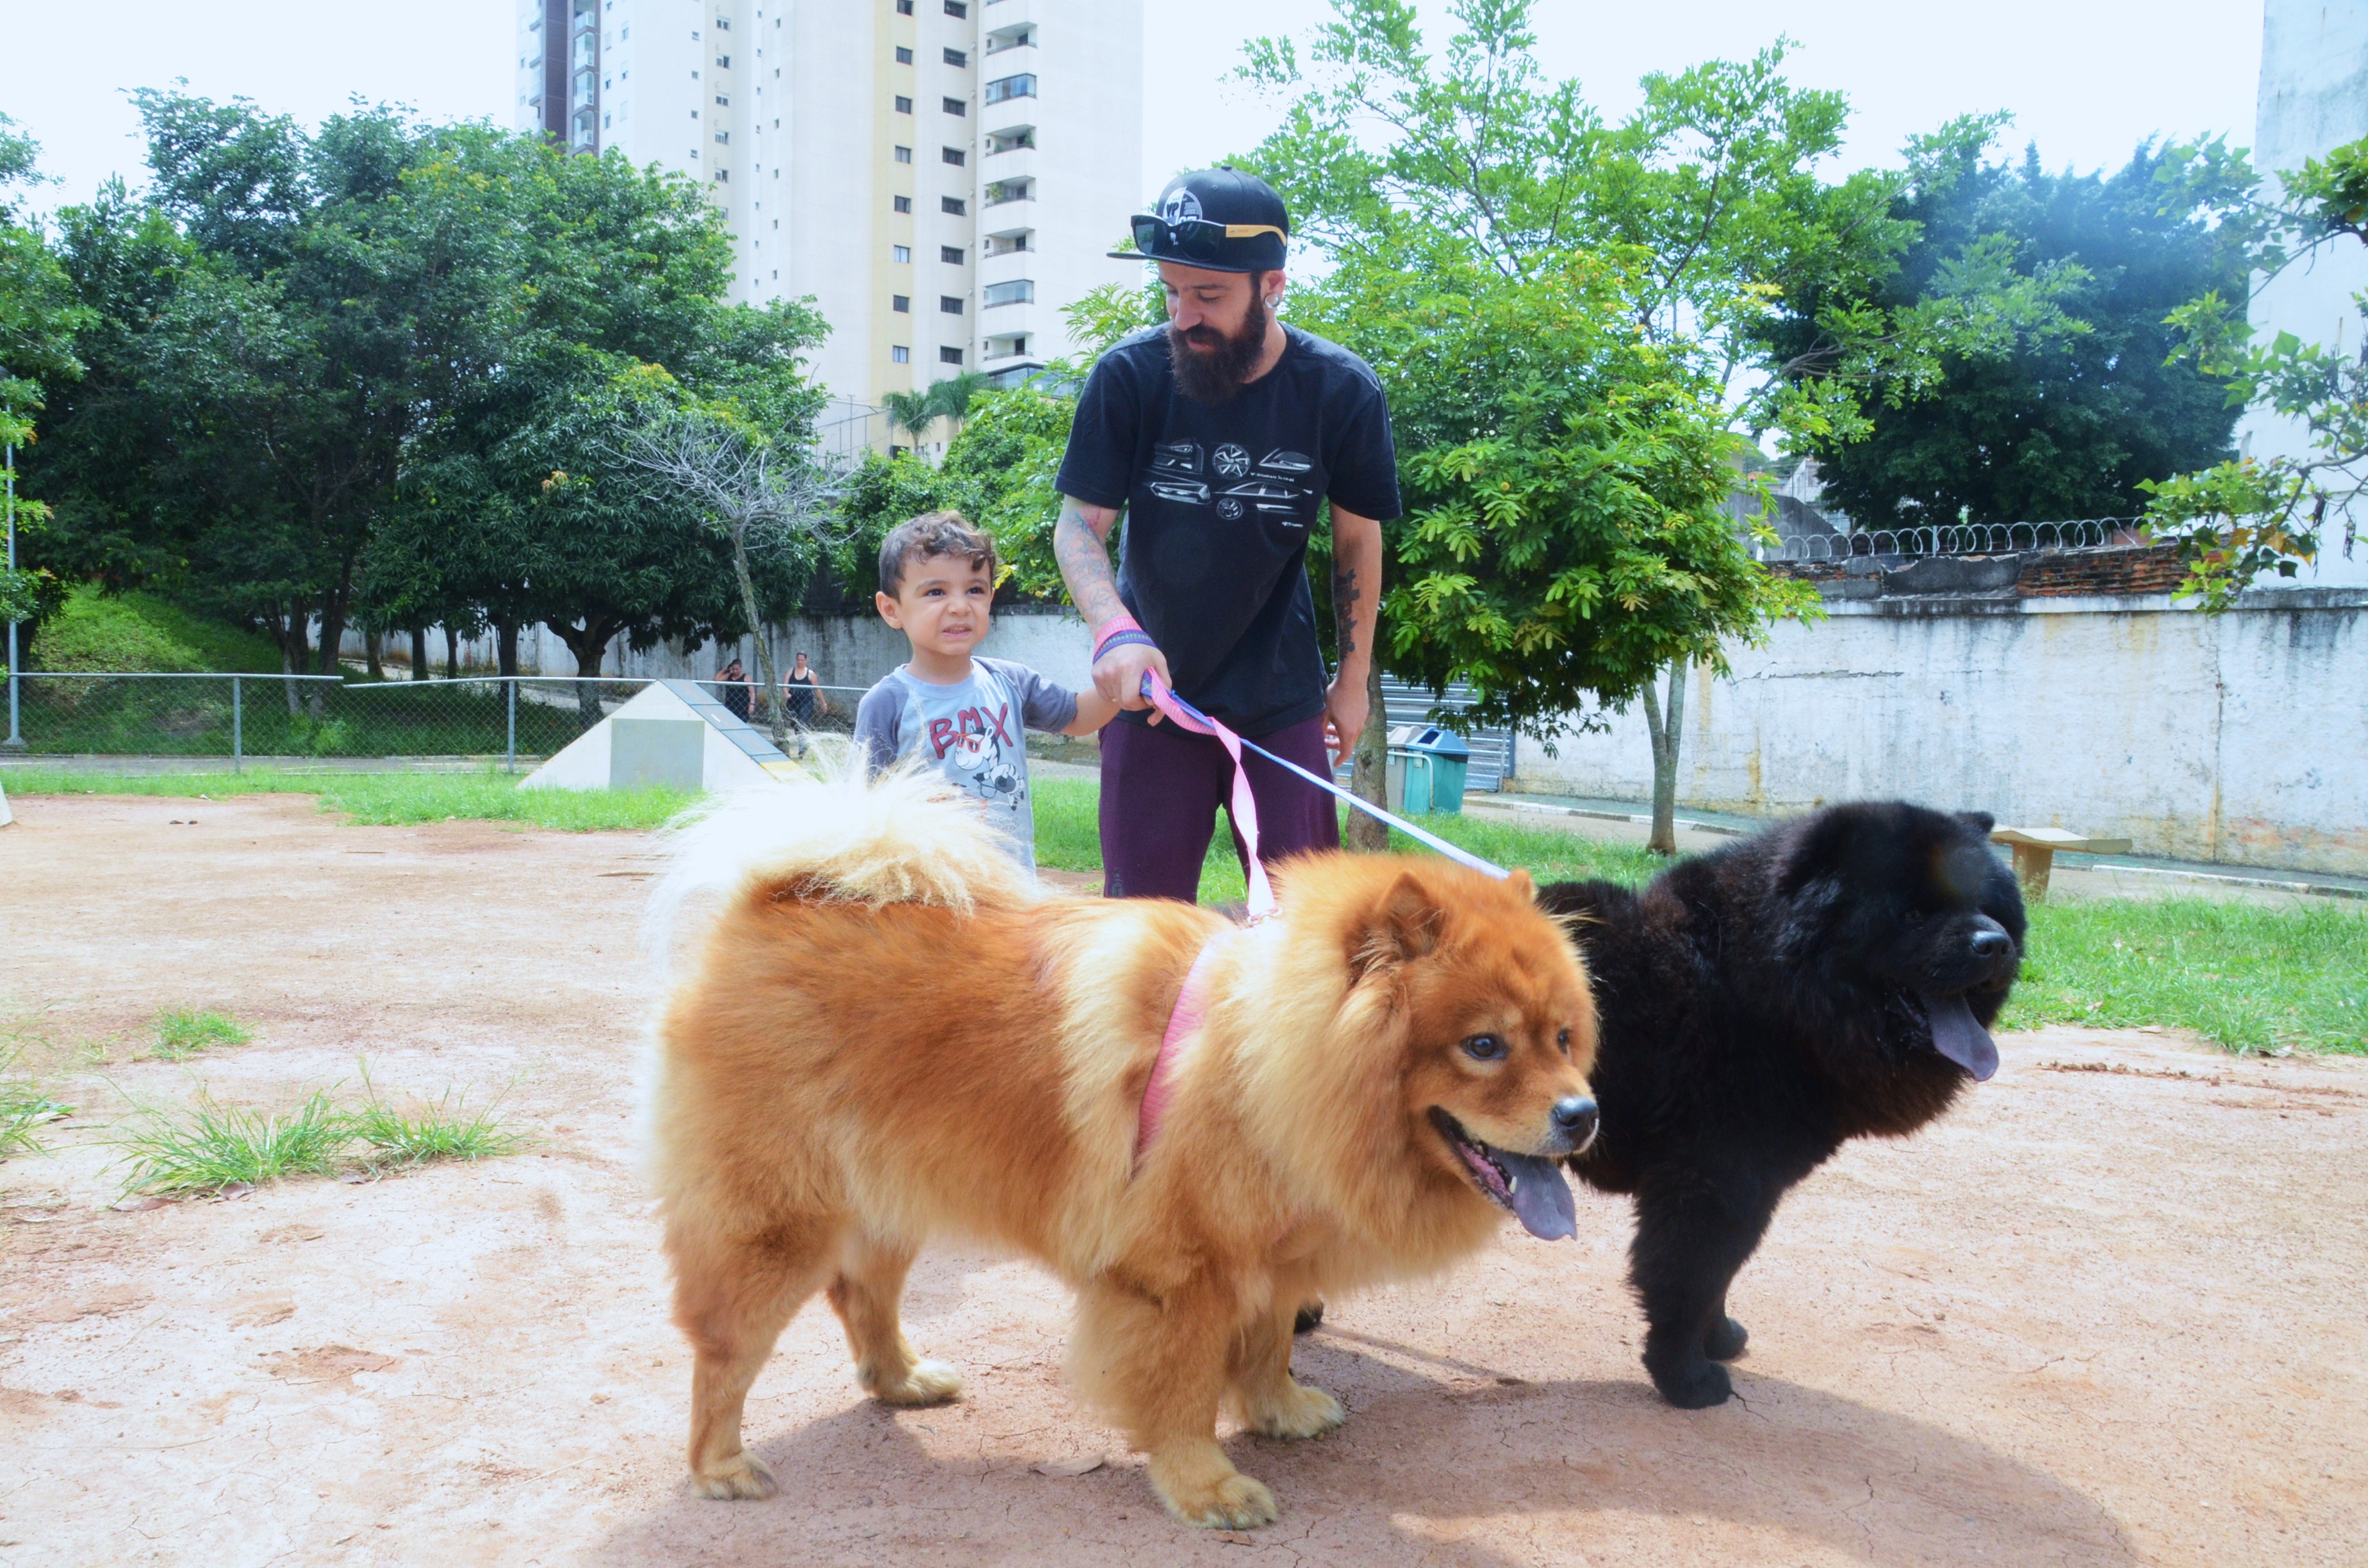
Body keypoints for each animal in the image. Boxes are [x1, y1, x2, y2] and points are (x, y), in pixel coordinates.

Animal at [648, 776, 1600, 1535]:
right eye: (1484, 1046)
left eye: (1562, 1038)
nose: (1584, 1112)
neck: (1259, 1065)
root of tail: (769, 903)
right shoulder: (1180, 1277)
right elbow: (1183, 1395)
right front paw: (1208, 1489)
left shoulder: (1268, 1258)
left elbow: (1266, 1348)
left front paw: (1281, 1411)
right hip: (775, 1227)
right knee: (723, 1354)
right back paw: (721, 1469)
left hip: (893, 1195)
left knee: (861, 1296)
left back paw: (904, 1381)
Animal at [1534, 805, 2036, 1402]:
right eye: (1914, 914)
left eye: (1989, 909)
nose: (1996, 942)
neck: (1755, 985)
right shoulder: (1716, 1179)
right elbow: (1689, 1280)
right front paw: (1687, 1378)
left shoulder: (1743, 1186)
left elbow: (1719, 1279)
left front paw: (1719, 1339)